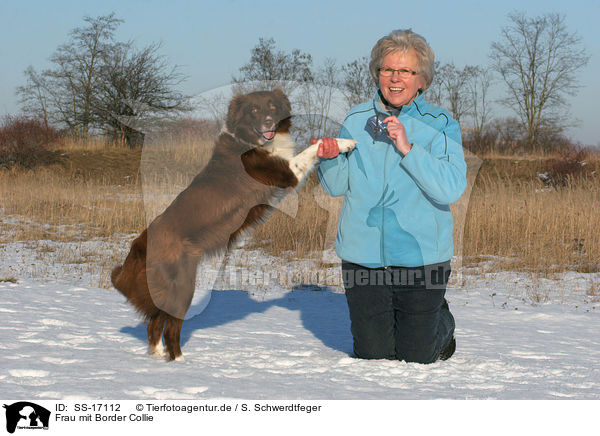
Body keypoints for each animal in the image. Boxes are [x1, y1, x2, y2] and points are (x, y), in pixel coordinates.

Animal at [109, 88, 354, 362]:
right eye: (254, 110)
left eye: (272, 105)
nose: (268, 122)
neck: (251, 140)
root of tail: (138, 245)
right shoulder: (285, 173)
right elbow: (314, 148)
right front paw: (344, 142)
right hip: (182, 285)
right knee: (170, 326)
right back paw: (180, 361)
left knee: (154, 324)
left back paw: (158, 355)